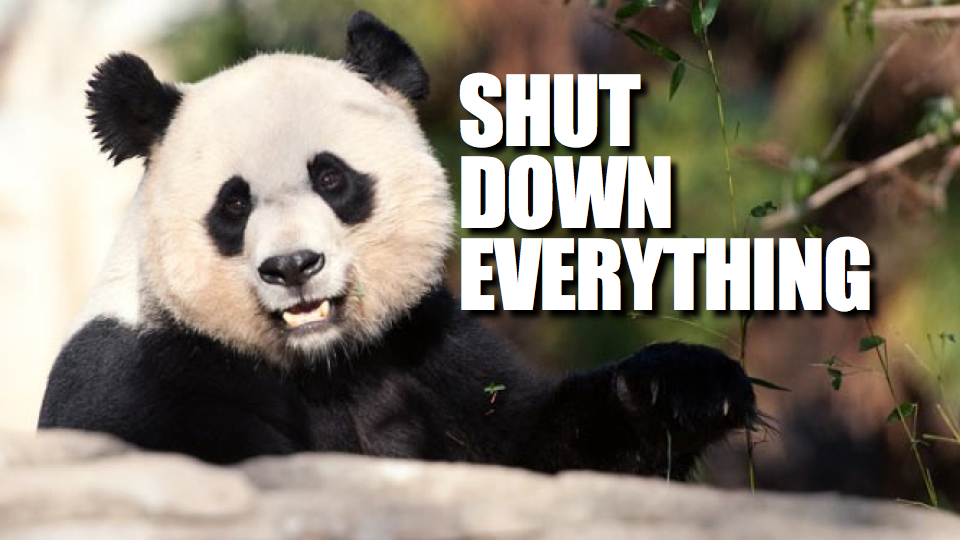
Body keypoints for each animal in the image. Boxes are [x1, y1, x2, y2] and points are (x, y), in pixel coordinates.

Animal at [39, 11, 757, 477]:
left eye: (331, 178)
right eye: (233, 204)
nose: (293, 267)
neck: (323, 363)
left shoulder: (422, 346)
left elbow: (541, 452)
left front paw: (687, 387)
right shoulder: (147, 369)